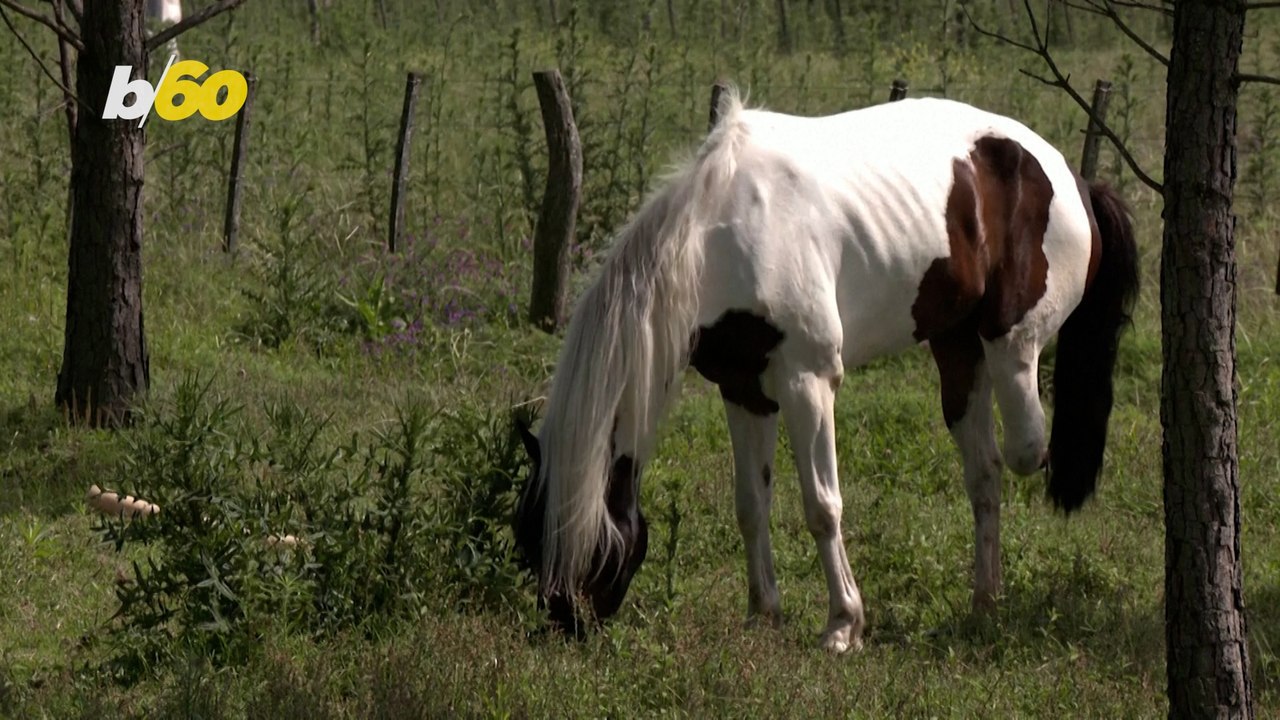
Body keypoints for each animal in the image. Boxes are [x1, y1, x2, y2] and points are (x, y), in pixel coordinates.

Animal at [514, 88, 1139, 653]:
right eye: (528, 538)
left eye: (578, 543)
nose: (564, 627)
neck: (719, 241)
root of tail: (1073, 178)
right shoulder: (742, 391)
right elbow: (751, 504)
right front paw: (763, 615)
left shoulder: (807, 383)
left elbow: (822, 506)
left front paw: (844, 626)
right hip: (956, 349)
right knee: (985, 473)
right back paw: (984, 603)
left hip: (1009, 346)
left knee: (1025, 450)